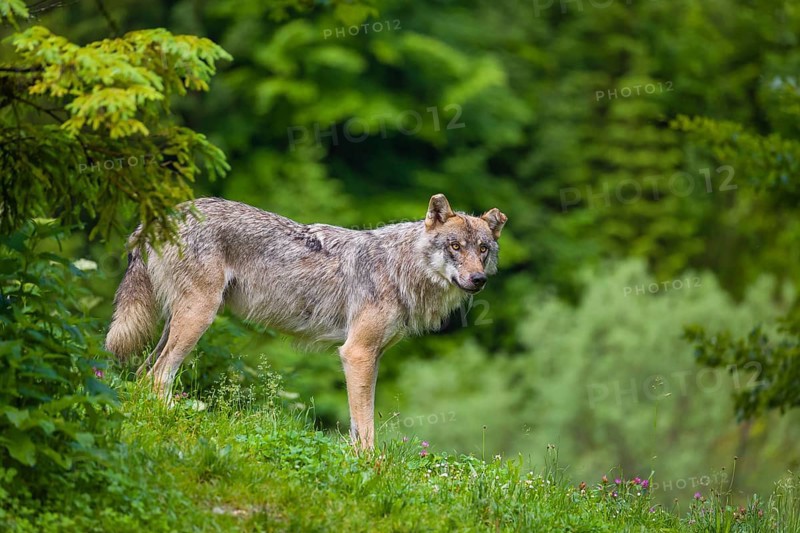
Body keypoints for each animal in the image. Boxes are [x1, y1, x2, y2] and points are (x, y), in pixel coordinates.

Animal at [105, 194, 507, 449]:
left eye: (482, 249)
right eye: (455, 247)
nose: (477, 280)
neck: (400, 268)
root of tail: (159, 217)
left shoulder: (371, 357)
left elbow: (356, 423)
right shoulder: (356, 353)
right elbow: (367, 426)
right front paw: (371, 466)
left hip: (179, 322)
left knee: (142, 374)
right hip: (198, 318)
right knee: (158, 376)